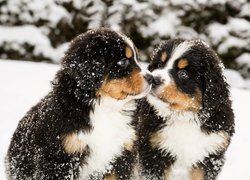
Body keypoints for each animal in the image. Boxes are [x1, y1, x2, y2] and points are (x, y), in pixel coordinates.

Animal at [138, 39, 235, 180]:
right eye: (160, 64)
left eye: (183, 73)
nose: (153, 79)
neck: (184, 116)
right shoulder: (154, 152)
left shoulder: (210, 155)